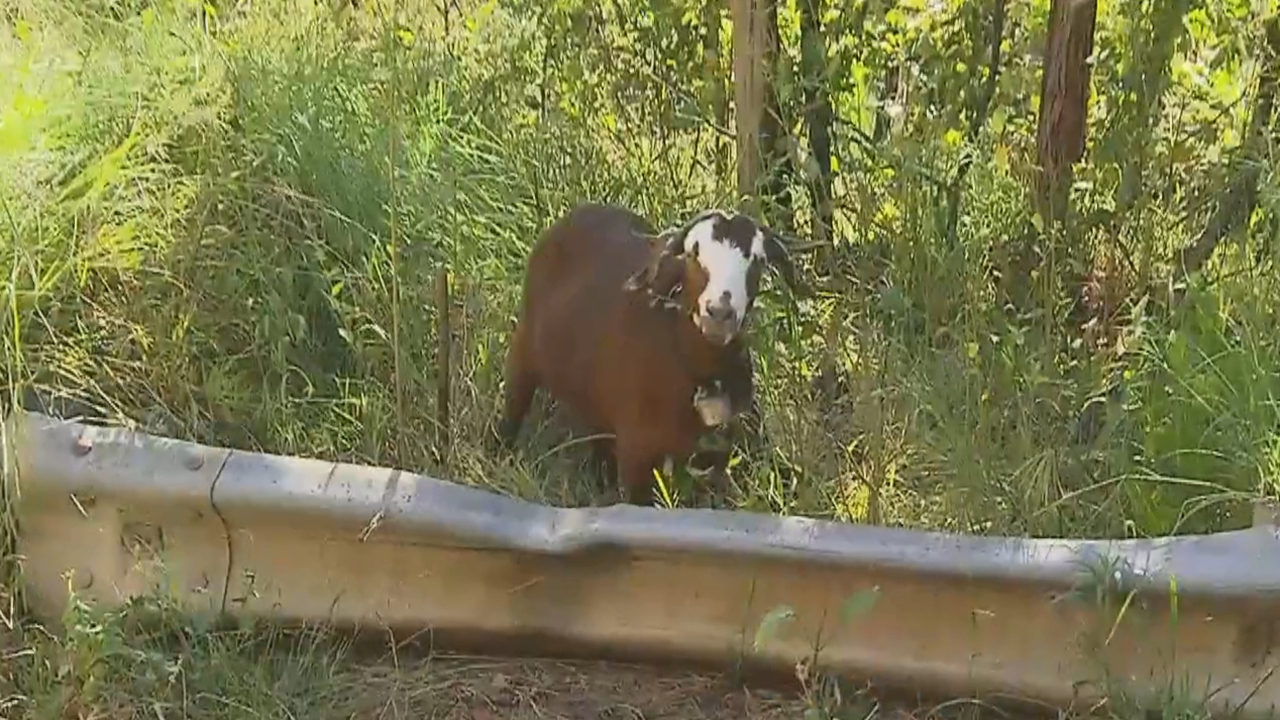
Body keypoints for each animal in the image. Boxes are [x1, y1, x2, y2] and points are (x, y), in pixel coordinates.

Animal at [494, 202, 803, 504]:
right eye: (694, 253)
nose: (718, 312)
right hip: (523, 351)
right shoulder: (637, 454)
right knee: (514, 406)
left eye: (758, 261)